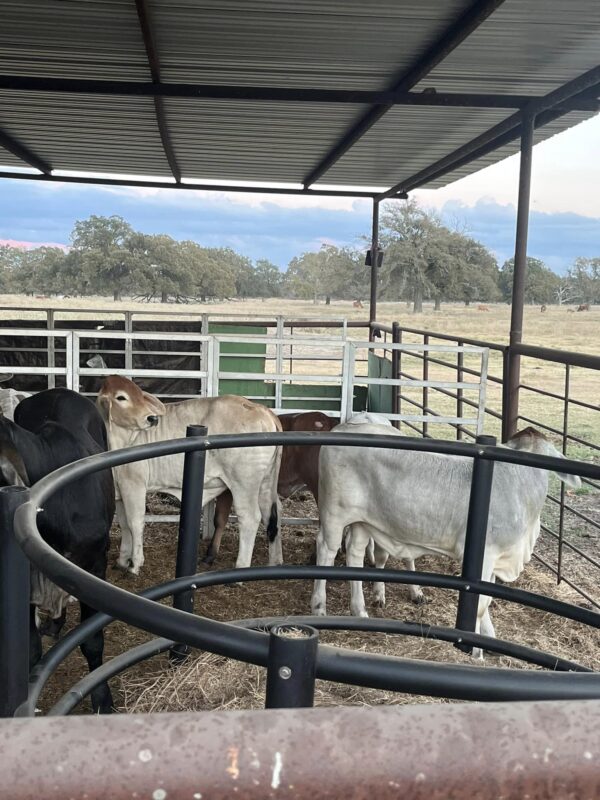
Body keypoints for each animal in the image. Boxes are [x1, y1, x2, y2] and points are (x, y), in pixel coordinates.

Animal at [98, 376, 284, 576]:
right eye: (121, 397)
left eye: (139, 394)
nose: (152, 418)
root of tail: (263, 410)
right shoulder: (119, 490)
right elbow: (124, 524)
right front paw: (122, 561)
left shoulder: (134, 485)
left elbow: (134, 523)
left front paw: (134, 565)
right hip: (266, 482)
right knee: (272, 514)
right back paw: (274, 563)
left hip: (244, 483)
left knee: (250, 518)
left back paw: (241, 569)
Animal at [314, 422, 580, 648]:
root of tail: (343, 427)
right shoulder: (485, 555)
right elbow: (480, 604)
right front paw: (475, 648)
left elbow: (487, 598)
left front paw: (489, 638)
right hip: (334, 515)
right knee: (325, 550)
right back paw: (319, 607)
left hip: (362, 522)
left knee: (355, 554)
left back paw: (359, 610)